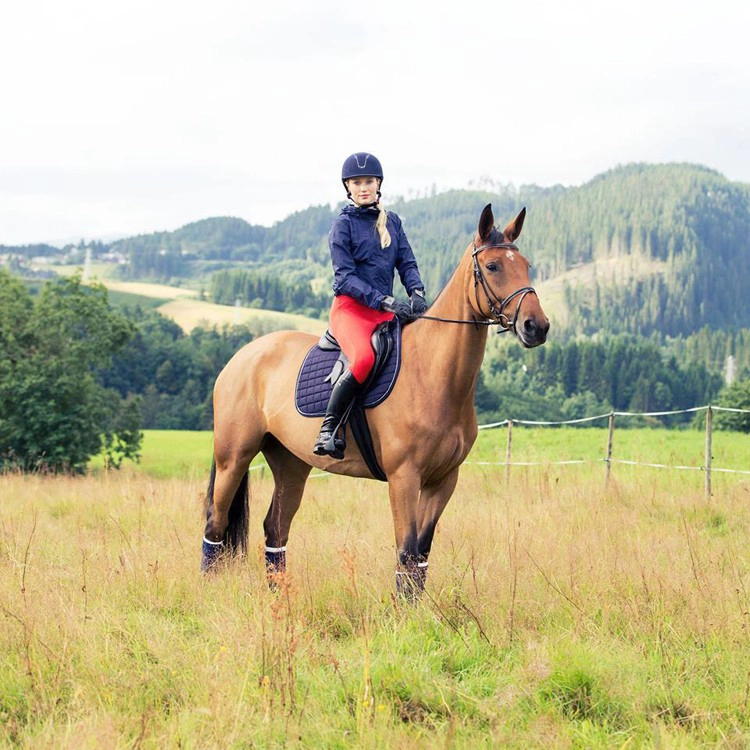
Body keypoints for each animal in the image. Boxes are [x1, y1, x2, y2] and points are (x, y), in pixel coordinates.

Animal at [202, 203, 549, 596]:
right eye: (492, 266)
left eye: (526, 266)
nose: (537, 326)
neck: (432, 372)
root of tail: (241, 357)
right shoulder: (404, 477)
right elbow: (406, 551)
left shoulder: (443, 480)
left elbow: (421, 556)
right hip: (234, 457)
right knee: (215, 523)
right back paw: (210, 591)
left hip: (290, 463)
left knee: (275, 529)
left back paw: (280, 598)